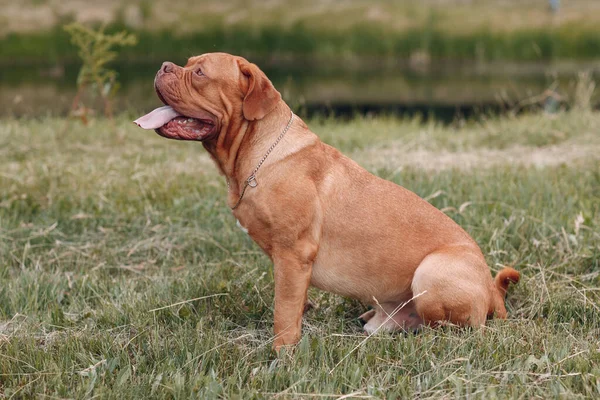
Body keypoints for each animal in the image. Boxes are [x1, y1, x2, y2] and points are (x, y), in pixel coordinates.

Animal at [134, 52, 516, 350]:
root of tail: (491, 289)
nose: (164, 66)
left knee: (453, 328)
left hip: (431, 273)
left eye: (199, 73)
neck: (258, 154)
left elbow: (283, 312)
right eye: (186, 64)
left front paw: (282, 355)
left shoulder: (293, 254)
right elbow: (294, 304)